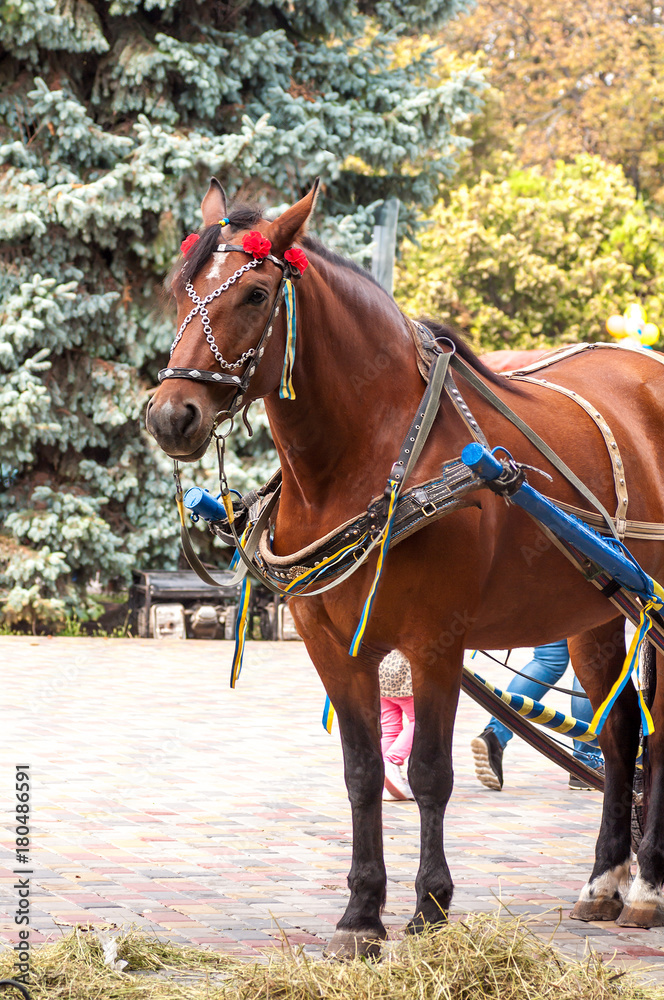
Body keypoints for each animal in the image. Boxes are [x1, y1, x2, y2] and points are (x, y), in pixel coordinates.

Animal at [147, 182, 664, 960]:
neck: (367, 455)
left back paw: (648, 885)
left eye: (258, 294)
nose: (171, 414)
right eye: (182, 289)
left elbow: (427, 772)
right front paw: (362, 912)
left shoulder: (435, 641)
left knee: (655, 738)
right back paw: (606, 879)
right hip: (596, 613)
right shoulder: (332, 643)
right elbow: (363, 774)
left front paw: (430, 906)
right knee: (621, 730)